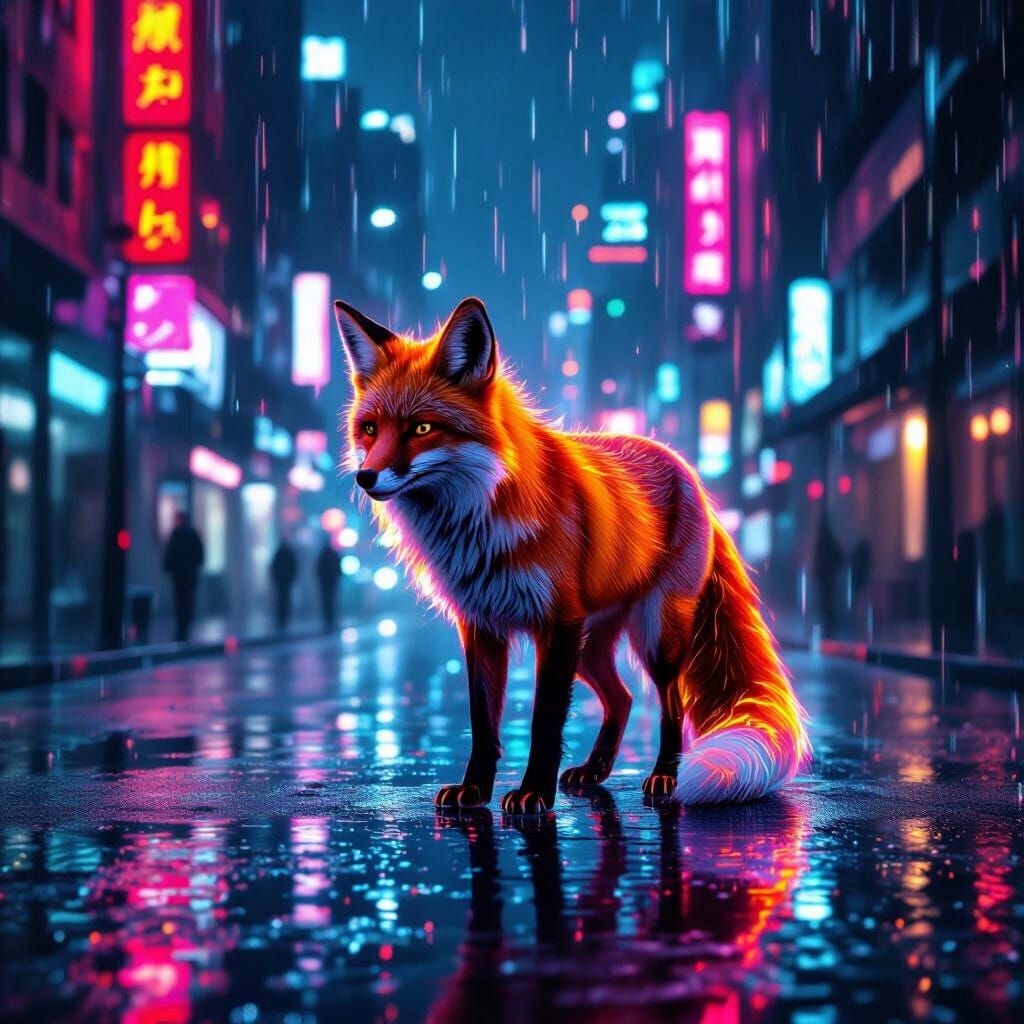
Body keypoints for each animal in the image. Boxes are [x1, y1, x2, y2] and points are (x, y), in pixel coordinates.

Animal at [334, 295, 810, 814]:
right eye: (370, 429)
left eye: (422, 427)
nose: (366, 477)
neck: (476, 522)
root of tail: (687, 470)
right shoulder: (480, 625)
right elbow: (482, 724)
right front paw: (475, 789)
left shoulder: (557, 623)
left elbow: (544, 722)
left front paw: (533, 793)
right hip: (590, 646)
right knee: (622, 699)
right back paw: (594, 770)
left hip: (654, 634)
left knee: (671, 703)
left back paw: (665, 775)